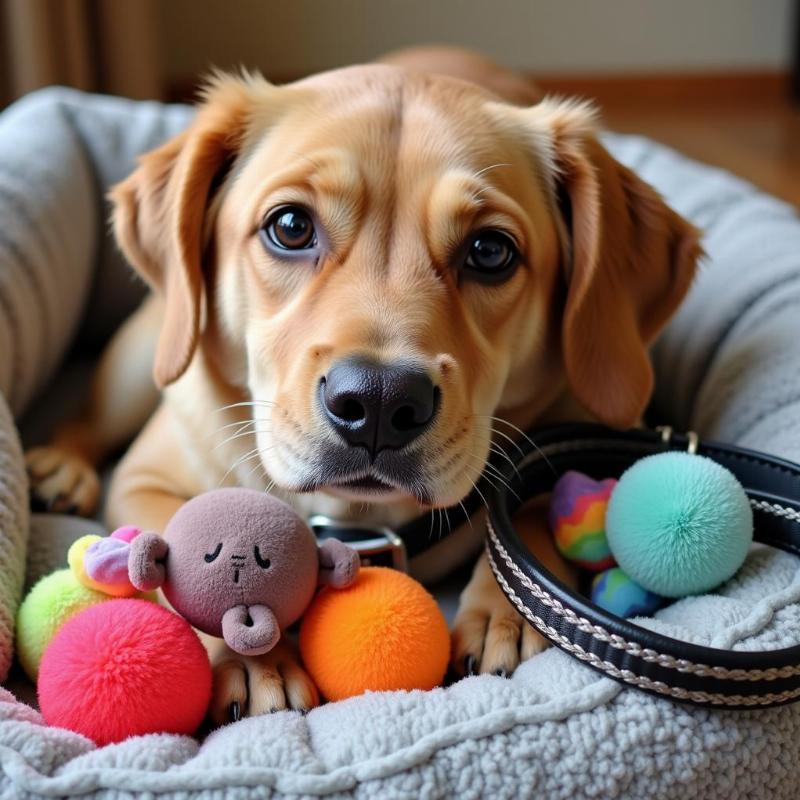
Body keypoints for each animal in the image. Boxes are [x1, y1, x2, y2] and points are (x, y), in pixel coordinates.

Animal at [25, 48, 700, 724]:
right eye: (290, 226)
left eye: (490, 250)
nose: (379, 400)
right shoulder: (143, 481)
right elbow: (175, 558)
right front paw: (252, 655)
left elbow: (531, 508)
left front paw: (506, 613)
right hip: (145, 352)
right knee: (89, 417)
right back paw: (61, 466)